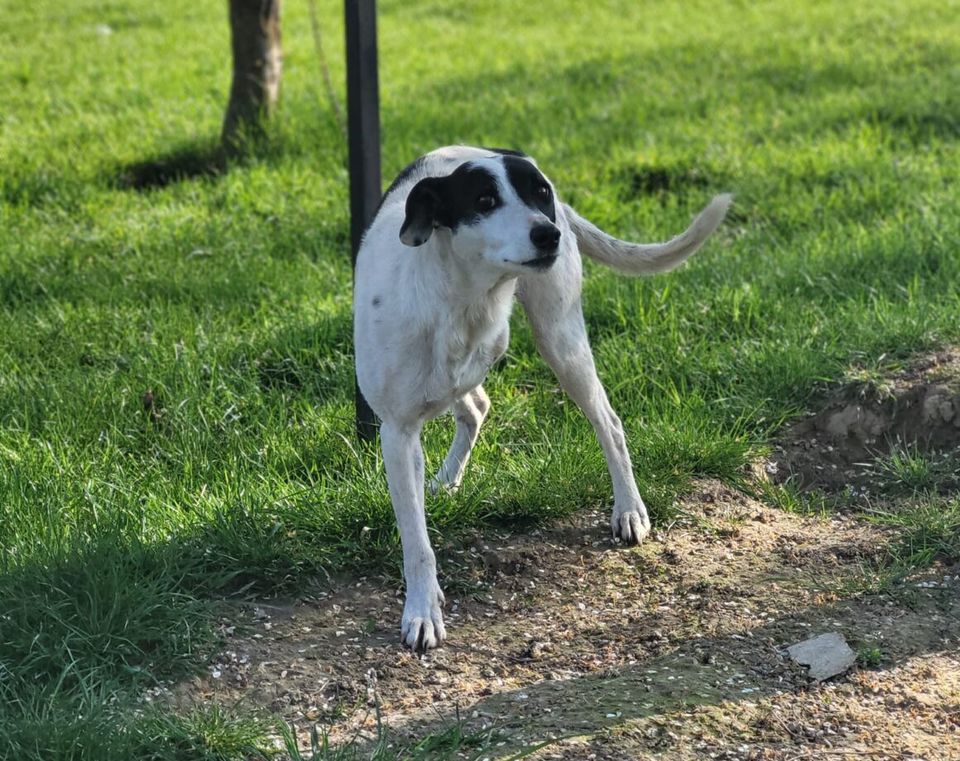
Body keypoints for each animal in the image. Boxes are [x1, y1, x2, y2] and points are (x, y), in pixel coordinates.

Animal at [352, 145, 728, 652]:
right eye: (485, 200)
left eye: (540, 192)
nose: (548, 234)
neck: (460, 297)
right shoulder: (398, 433)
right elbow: (417, 541)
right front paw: (423, 610)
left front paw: (422, 612)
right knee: (475, 405)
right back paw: (447, 480)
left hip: (561, 340)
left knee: (608, 422)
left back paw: (629, 509)